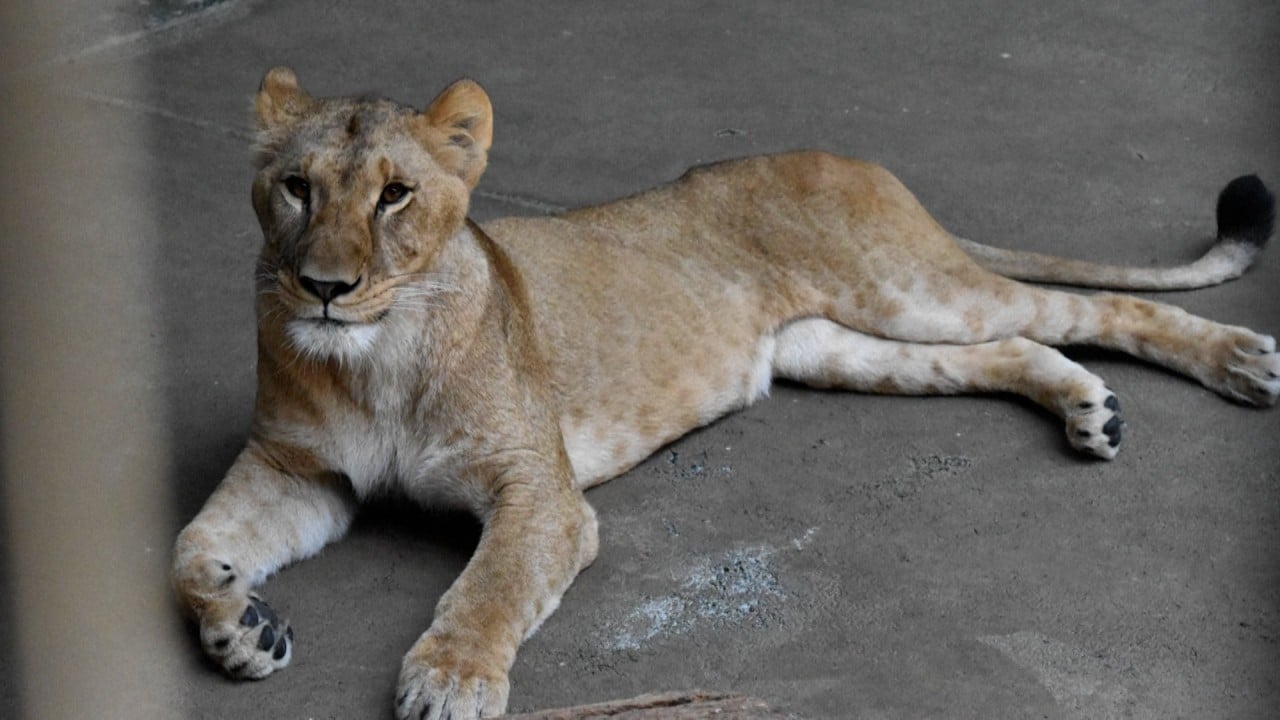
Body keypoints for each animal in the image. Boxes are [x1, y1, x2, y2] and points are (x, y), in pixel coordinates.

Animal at [172, 67, 1277, 719]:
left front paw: (450, 680)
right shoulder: (302, 471)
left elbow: (490, 586)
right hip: (843, 347)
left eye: (395, 195)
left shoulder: (540, 491)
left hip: (911, 290)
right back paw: (1090, 408)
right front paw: (242, 626)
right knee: (1014, 346)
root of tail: (846, 155)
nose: (324, 286)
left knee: (1085, 304)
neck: (375, 356)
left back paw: (1239, 363)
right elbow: (189, 549)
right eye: (298, 187)